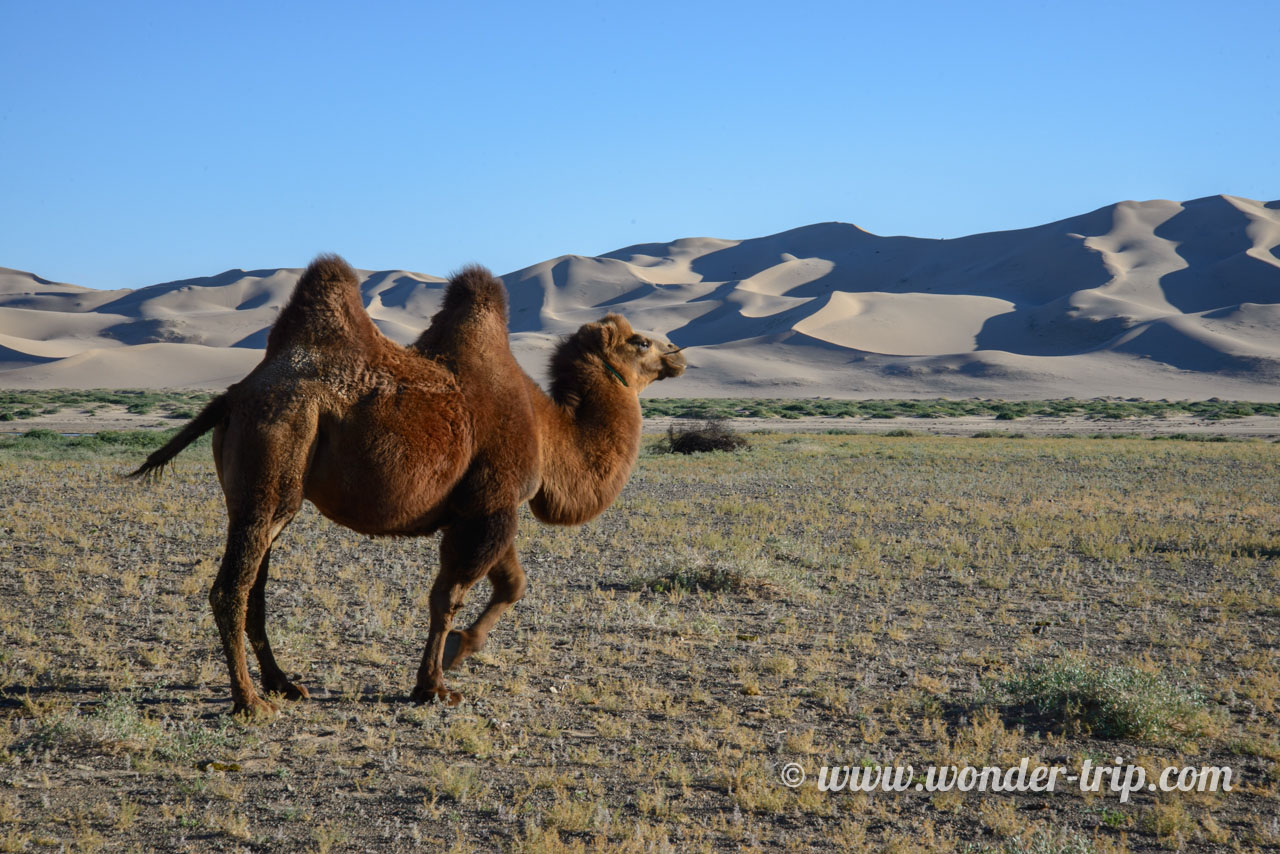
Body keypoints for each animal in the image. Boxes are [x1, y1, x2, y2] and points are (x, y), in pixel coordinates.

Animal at [129, 257, 686, 717]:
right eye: (640, 342)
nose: (679, 354)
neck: (547, 430)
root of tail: (234, 396)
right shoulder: (493, 503)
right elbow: (449, 596)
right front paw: (434, 685)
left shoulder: (480, 506)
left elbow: (511, 584)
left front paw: (459, 652)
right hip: (277, 452)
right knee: (232, 589)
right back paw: (250, 702)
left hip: (255, 495)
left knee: (255, 587)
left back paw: (284, 685)